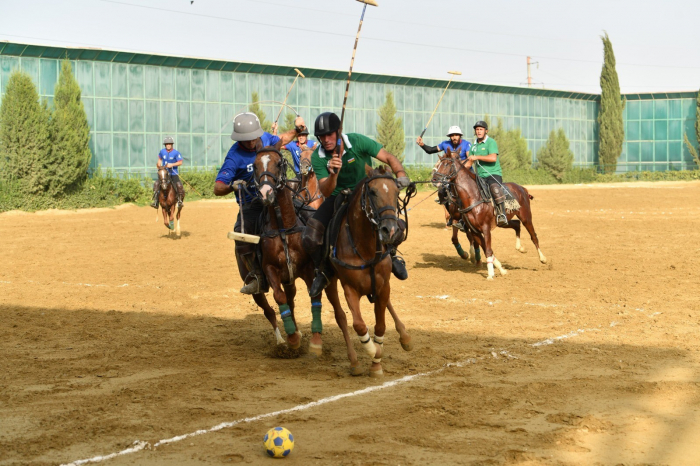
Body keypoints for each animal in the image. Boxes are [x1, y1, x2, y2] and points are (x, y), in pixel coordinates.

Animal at [326, 166, 412, 376]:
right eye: (372, 192)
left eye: (397, 192)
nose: (390, 230)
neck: (364, 248)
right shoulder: (350, 287)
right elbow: (358, 325)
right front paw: (374, 351)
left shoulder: (383, 285)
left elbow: (380, 326)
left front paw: (376, 363)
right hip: (330, 283)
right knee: (340, 317)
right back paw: (354, 362)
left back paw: (404, 337)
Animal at [432, 149, 548, 280]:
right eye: (438, 164)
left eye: (446, 164)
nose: (434, 179)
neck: (472, 196)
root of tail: (522, 188)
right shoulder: (474, 230)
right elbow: (486, 249)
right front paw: (501, 270)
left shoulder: (485, 228)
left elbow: (487, 249)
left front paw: (490, 274)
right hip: (503, 222)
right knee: (516, 224)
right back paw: (520, 248)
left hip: (526, 216)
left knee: (533, 236)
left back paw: (543, 258)